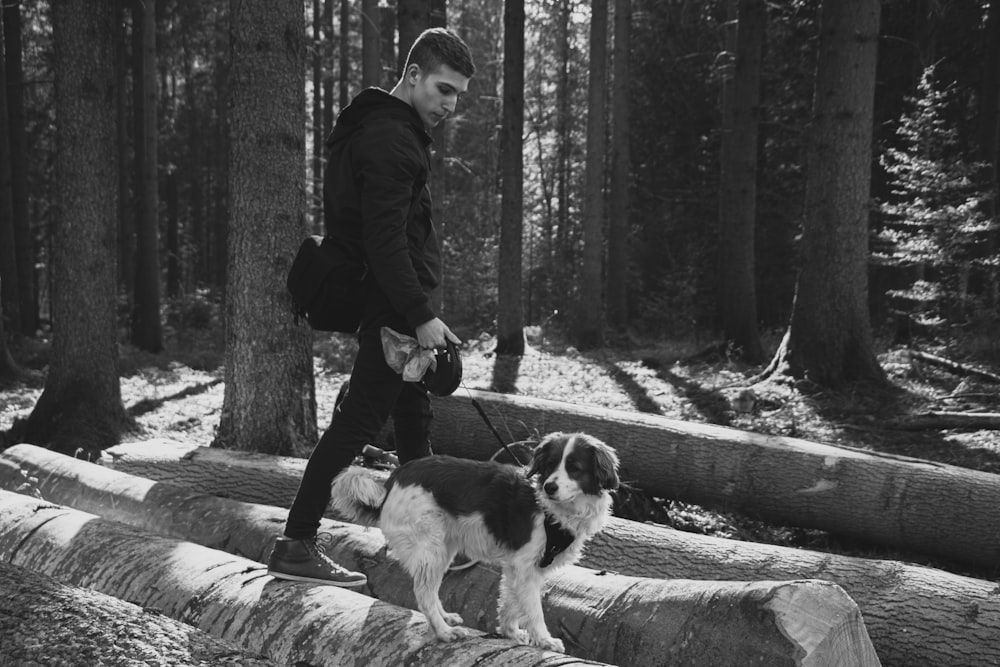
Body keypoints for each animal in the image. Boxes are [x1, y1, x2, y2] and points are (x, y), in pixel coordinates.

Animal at [330, 430, 616, 656]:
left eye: (574, 468)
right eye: (552, 464)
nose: (549, 487)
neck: (554, 511)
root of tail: (392, 479)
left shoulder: (521, 566)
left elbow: (511, 601)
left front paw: (510, 632)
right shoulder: (526, 565)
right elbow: (533, 608)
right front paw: (544, 640)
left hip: (444, 548)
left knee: (431, 589)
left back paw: (446, 618)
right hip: (431, 547)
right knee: (423, 593)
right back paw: (444, 631)